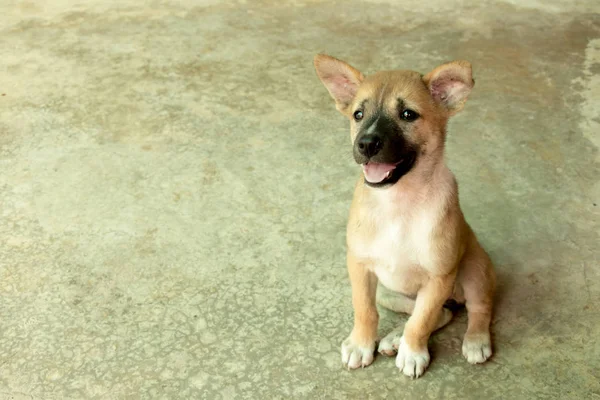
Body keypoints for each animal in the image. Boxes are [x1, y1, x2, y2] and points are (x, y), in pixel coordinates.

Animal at [314, 54, 496, 378]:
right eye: (358, 114)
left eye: (408, 114)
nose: (365, 144)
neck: (398, 204)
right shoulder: (359, 266)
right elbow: (365, 310)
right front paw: (361, 344)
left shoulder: (438, 277)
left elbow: (421, 322)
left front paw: (412, 352)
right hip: (388, 291)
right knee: (441, 313)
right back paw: (394, 338)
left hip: (475, 269)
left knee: (478, 308)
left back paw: (475, 340)